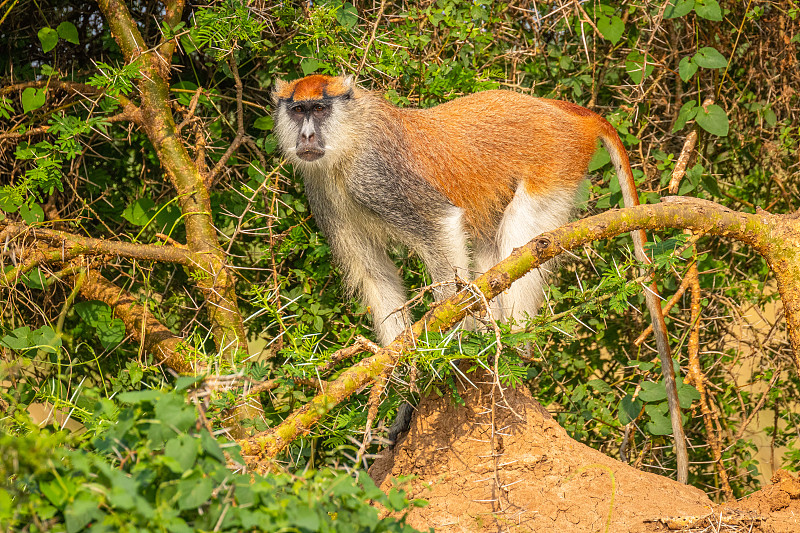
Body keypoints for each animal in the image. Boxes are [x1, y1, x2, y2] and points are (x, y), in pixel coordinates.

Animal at [274, 72, 668, 352]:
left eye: (319, 109)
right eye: (297, 111)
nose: (306, 137)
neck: (351, 137)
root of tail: (560, 111)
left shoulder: (374, 177)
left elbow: (440, 227)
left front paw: (443, 346)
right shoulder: (323, 192)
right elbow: (375, 273)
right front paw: (399, 375)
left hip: (556, 164)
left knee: (520, 237)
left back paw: (515, 343)